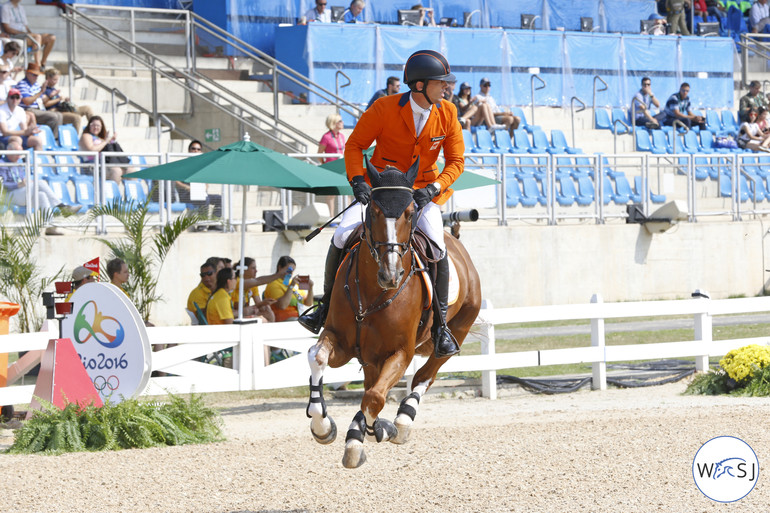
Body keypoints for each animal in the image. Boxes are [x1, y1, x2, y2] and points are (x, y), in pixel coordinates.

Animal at [304, 157, 476, 468]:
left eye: (410, 213)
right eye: (373, 211)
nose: (391, 275)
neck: (374, 291)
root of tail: (456, 242)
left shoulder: (400, 352)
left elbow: (375, 398)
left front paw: (380, 429)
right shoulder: (341, 342)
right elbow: (318, 357)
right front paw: (322, 426)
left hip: (459, 328)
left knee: (424, 376)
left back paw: (402, 421)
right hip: (371, 357)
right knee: (373, 384)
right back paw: (358, 434)